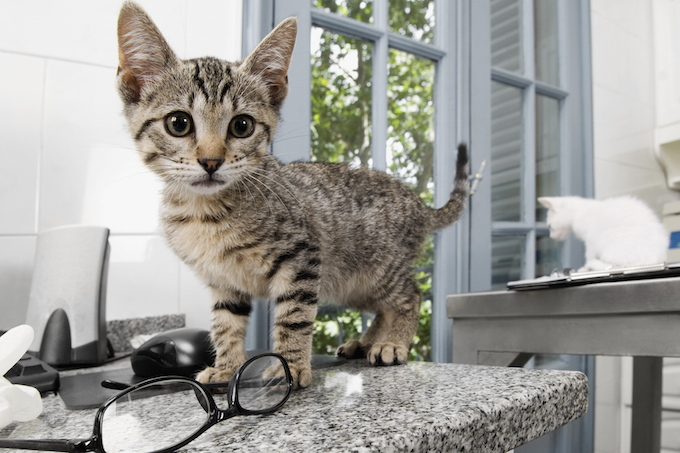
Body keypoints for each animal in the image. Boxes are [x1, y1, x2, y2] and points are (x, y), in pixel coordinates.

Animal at [117, 1, 468, 386]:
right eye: (178, 123)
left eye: (242, 126)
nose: (211, 161)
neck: (204, 210)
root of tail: (418, 203)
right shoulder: (224, 281)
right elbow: (225, 324)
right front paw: (226, 367)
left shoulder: (301, 256)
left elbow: (294, 315)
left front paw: (291, 364)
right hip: (353, 284)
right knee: (383, 308)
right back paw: (366, 341)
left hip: (377, 269)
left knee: (409, 296)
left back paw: (393, 343)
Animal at [540, 195, 668, 272]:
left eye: (549, 226)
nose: (551, 236)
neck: (579, 212)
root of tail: (653, 256)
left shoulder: (590, 239)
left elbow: (589, 256)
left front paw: (585, 268)